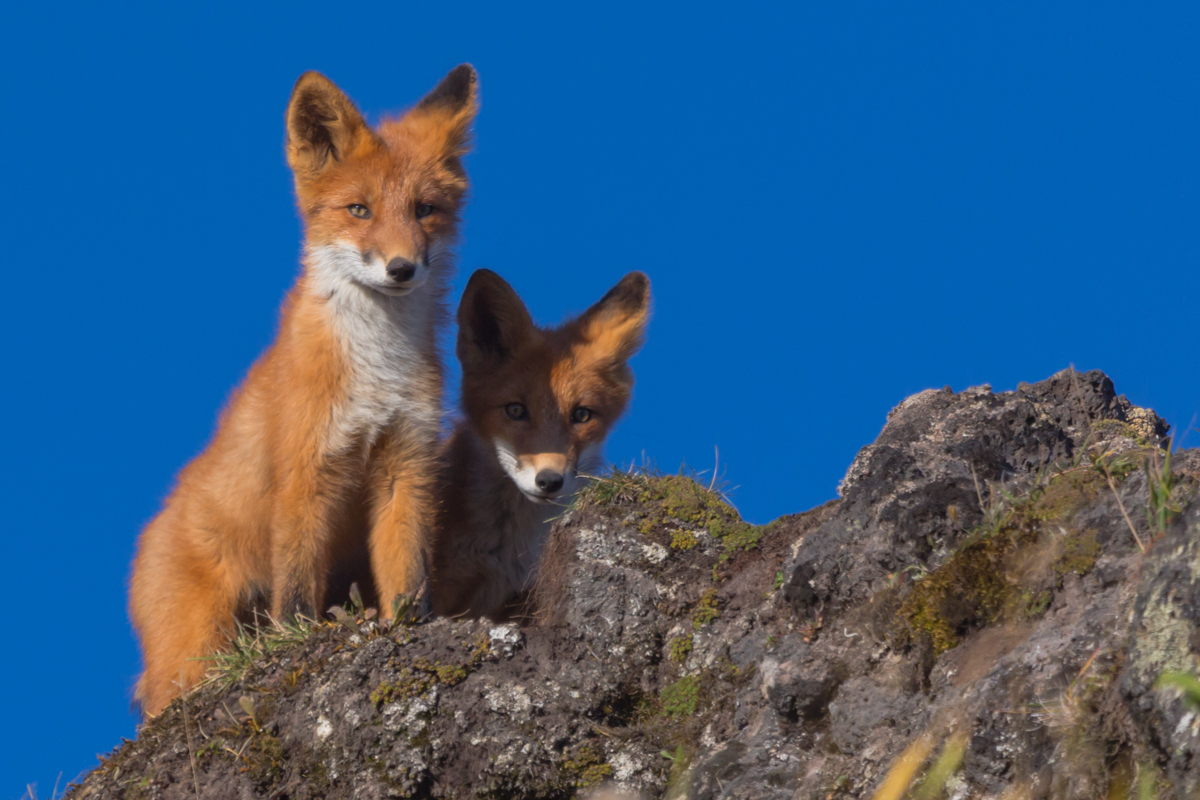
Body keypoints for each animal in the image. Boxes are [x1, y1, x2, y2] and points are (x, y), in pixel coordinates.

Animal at [126, 67, 472, 719]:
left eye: (425, 211)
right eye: (359, 210)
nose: (402, 268)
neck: (375, 367)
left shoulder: (405, 463)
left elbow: (406, 575)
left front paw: (407, 629)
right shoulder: (305, 473)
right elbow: (295, 594)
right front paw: (297, 646)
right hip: (199, 648)